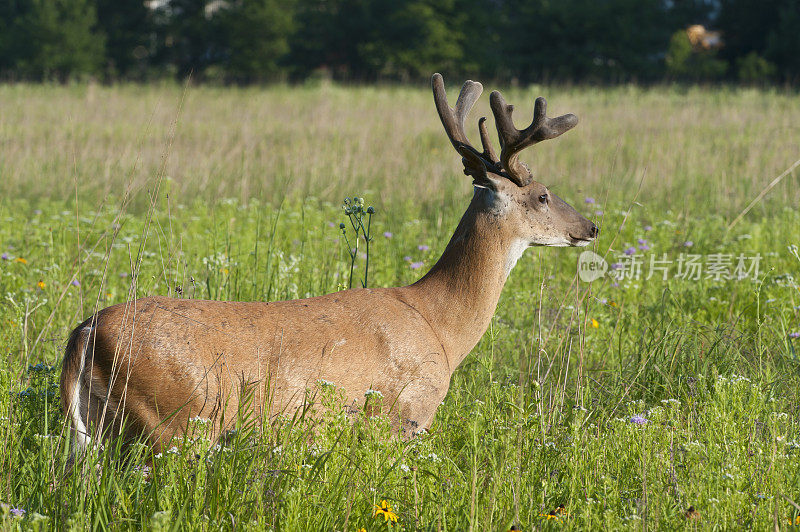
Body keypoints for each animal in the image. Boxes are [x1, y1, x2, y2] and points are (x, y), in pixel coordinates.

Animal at [61, 72, 600, 450]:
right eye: (543, 194)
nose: (591, 227)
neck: (440, 325)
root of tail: (85, 332)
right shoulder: (404, 413)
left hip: (91, 430)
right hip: (175, 424)